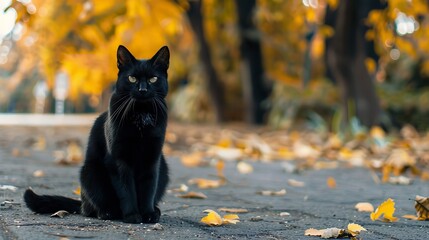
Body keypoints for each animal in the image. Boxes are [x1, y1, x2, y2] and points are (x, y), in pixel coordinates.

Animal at [23, 46, 169, 224]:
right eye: (132, 78)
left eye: (153, 79)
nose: (142, 89)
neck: (141, 116)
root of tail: (81, 203)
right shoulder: (118, 160)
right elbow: (127, 190)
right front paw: (132, 215)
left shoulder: (152, 159)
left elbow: (149, 188)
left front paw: (148, 213)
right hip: (90, 172)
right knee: (91, 208)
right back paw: (108, 212)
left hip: (164, 167)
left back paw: (155, 210)